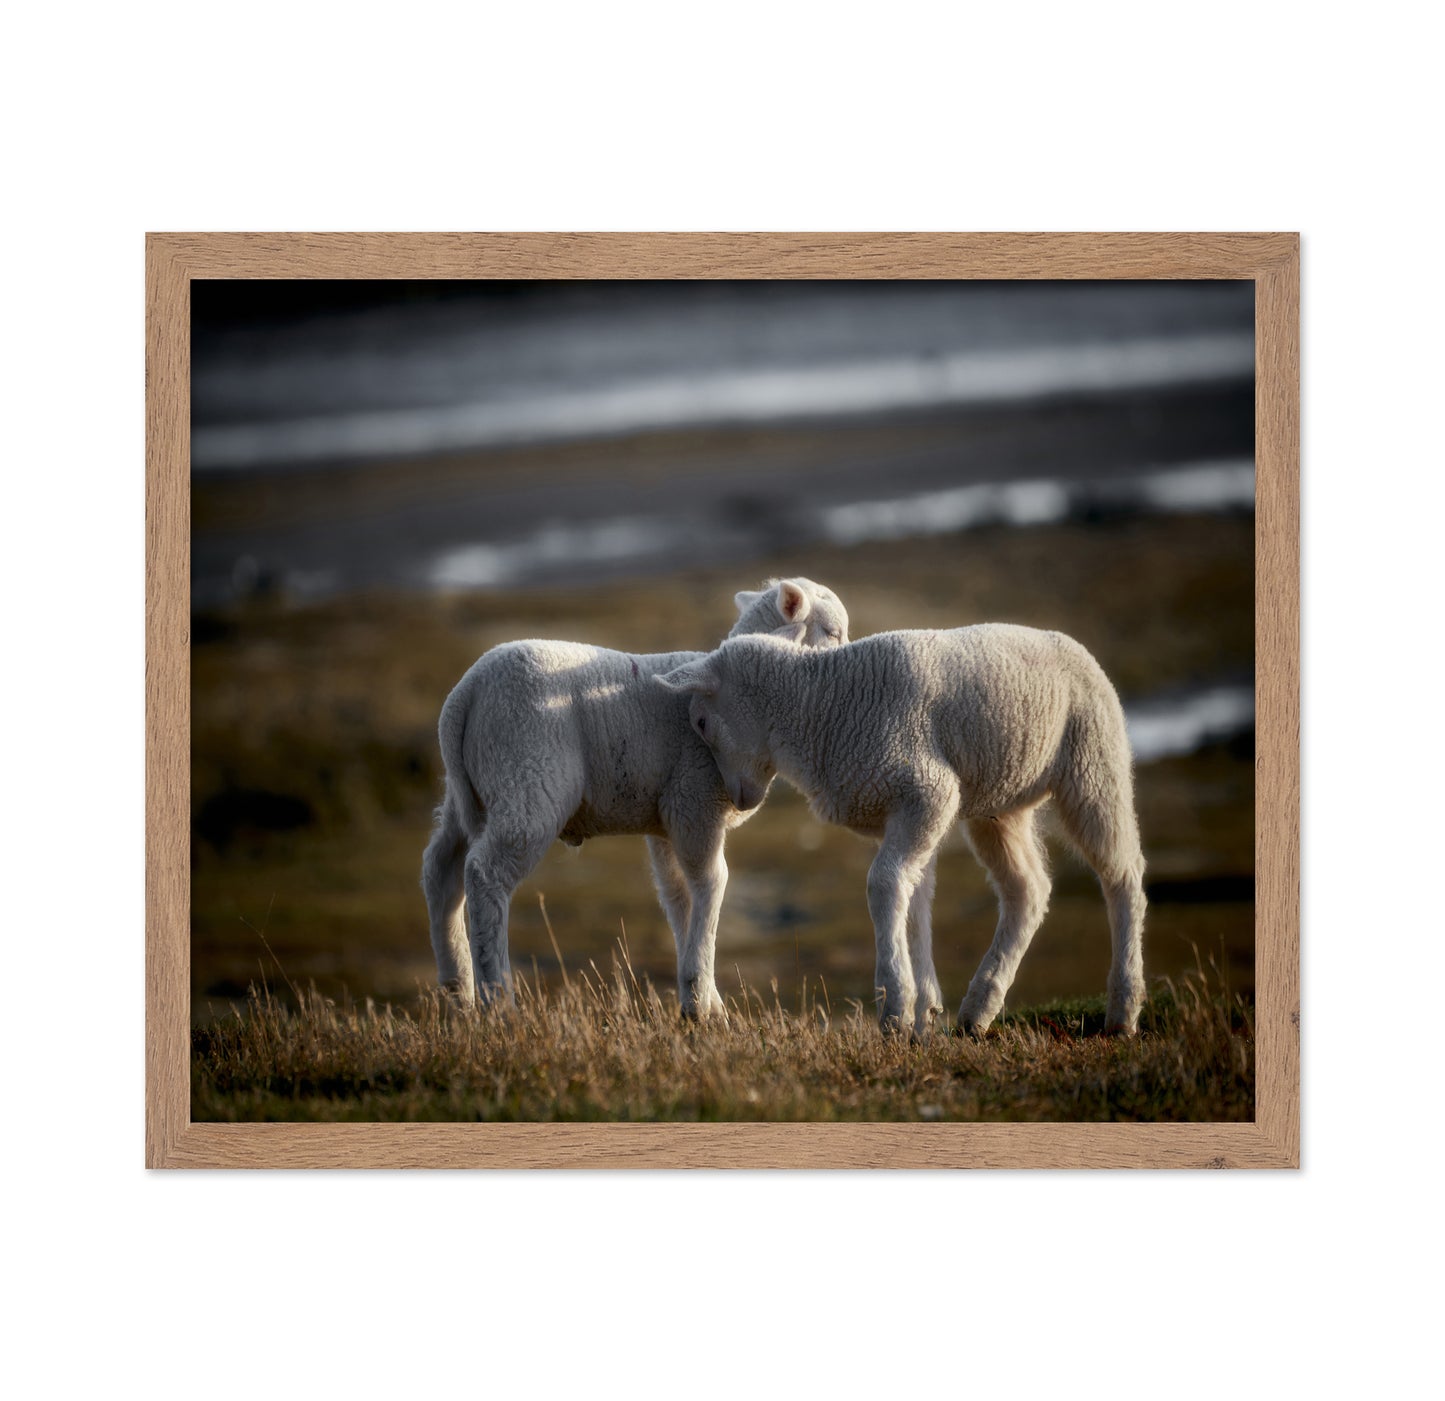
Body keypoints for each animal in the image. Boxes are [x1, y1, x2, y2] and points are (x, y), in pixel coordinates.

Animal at [421, 578, 850, 1017]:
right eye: (833, 632)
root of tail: (466, 694)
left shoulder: (666, 820)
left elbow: (678, 896)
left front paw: (705, 1000)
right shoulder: (694, 802)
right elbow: (712, 883)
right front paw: (700, 998)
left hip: (471, 792)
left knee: (441, 870)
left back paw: (457, 988)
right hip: (528, 779)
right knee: (484, 874)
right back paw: (498, 1001)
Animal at [655, 624, 1147, 1037]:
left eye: (701, 722)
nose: (738, 802)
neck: (819, 708)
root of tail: (1070, 643)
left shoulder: (929, 791)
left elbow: (884, 884)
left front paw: (895, 1008)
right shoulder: (899, 809)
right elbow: (913, 898)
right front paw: (922, 1011)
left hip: (1093, 762)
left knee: (1122, 876)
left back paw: (1123, 1009)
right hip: (1000, 804)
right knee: (1028, 889)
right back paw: (979, 1008)